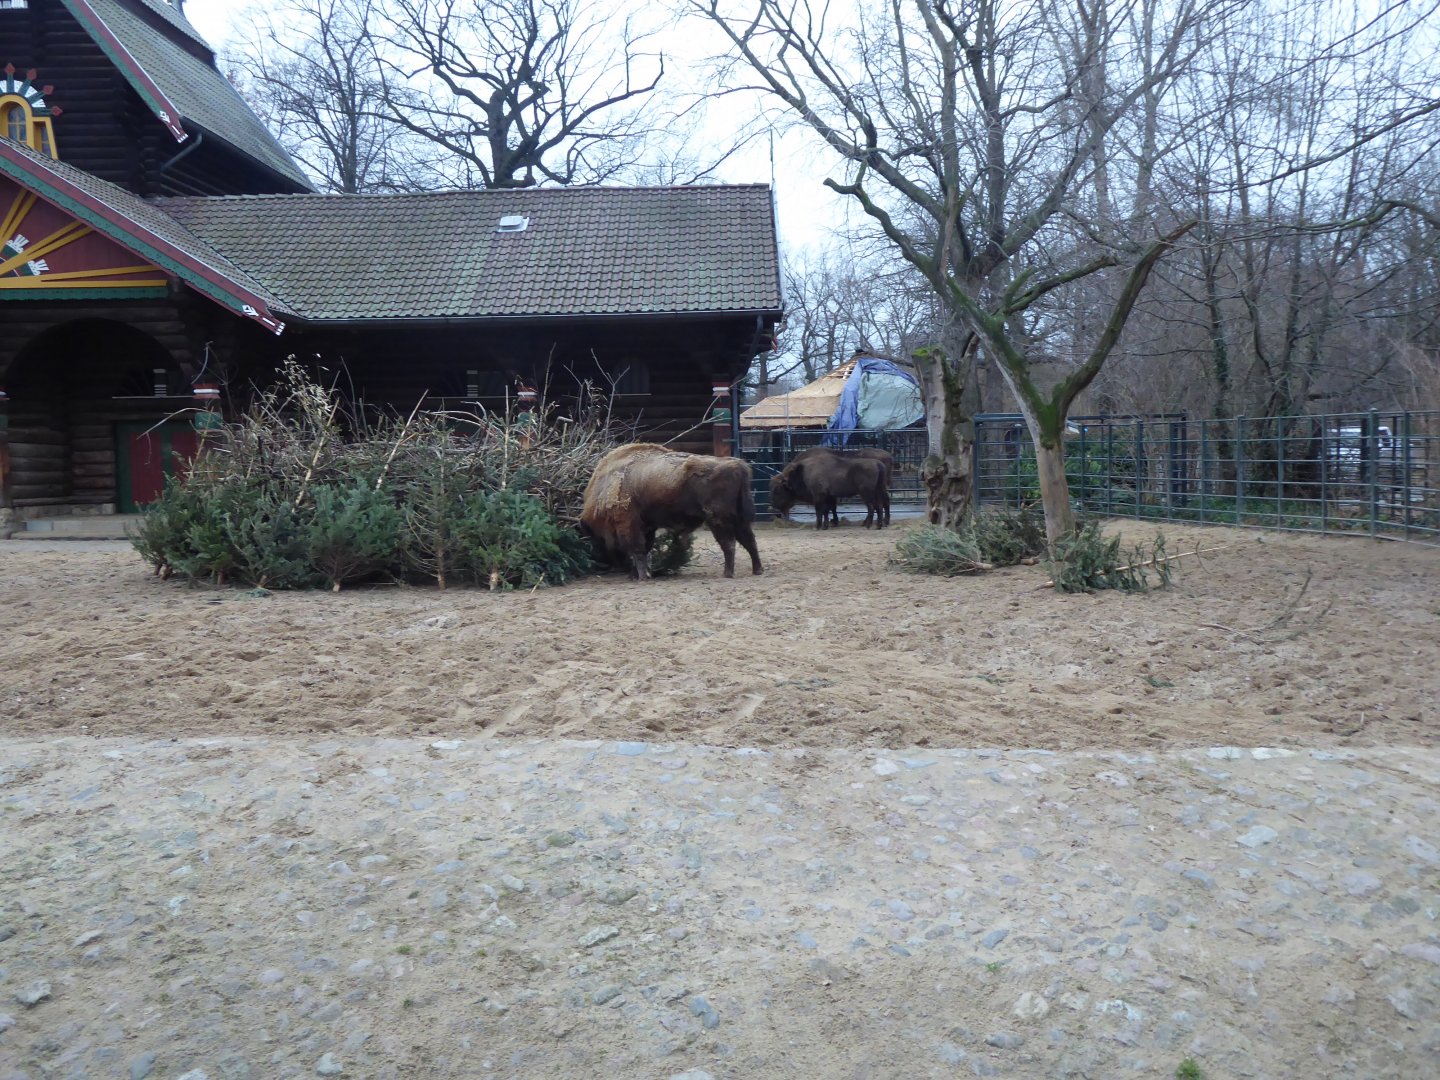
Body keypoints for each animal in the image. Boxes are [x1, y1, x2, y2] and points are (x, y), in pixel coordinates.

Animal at [581, 443, 764, 580]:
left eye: (595, 539)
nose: (602, 562)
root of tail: (738, 465)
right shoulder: (646, 526)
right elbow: (644, 548)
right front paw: (637, 575)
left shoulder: (629, 523)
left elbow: (637, 550)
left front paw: (641, 577)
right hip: (738, 518)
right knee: (749, 541)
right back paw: (757, 570)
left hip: (717, 519)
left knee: (729, 543)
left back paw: (727, 573)